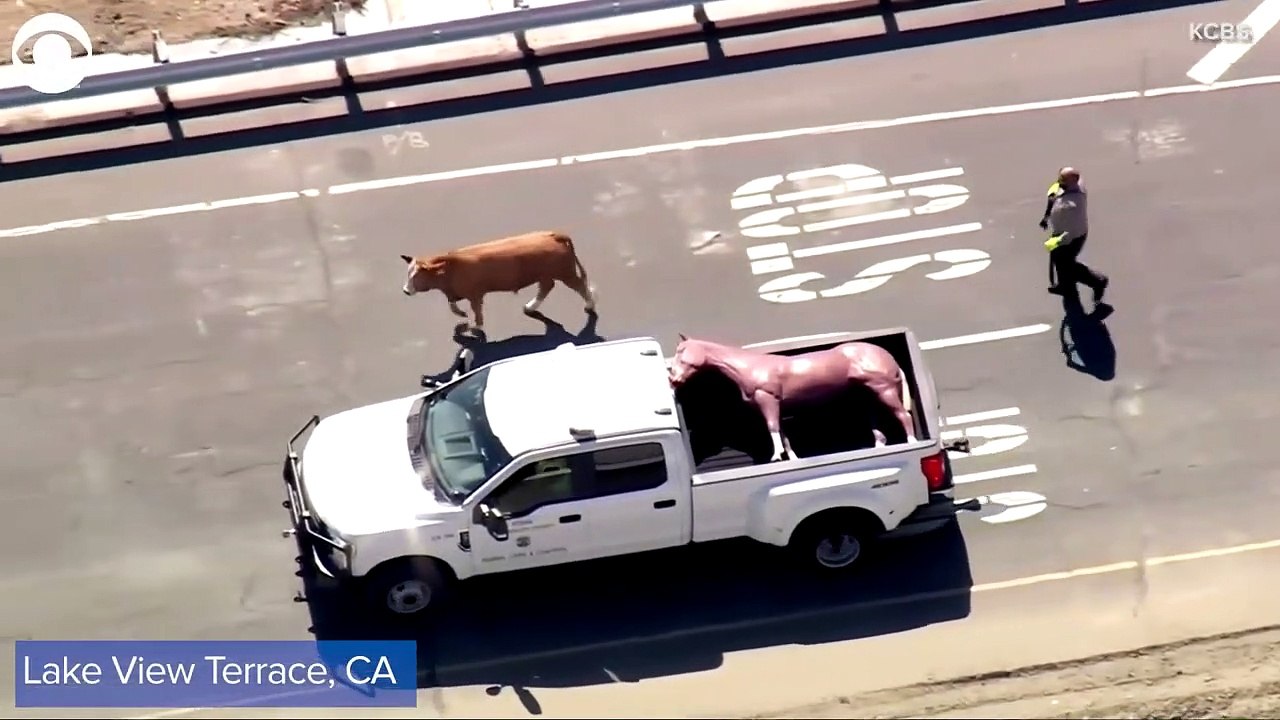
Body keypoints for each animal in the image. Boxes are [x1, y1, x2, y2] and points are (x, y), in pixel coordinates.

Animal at [400, 230, 596, 331]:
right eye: (408, 273)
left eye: (416, 276)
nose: (406, 290)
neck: (450, 267)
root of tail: (554, 235)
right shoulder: (454, 292)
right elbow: (452, 306)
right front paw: (462, 316)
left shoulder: (475, 295)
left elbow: (476, 311)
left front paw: (477, 327)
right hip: (546, 275)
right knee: (546, 287)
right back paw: (531, 306)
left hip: (565, 273)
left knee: (579, 285)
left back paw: (590, 305)